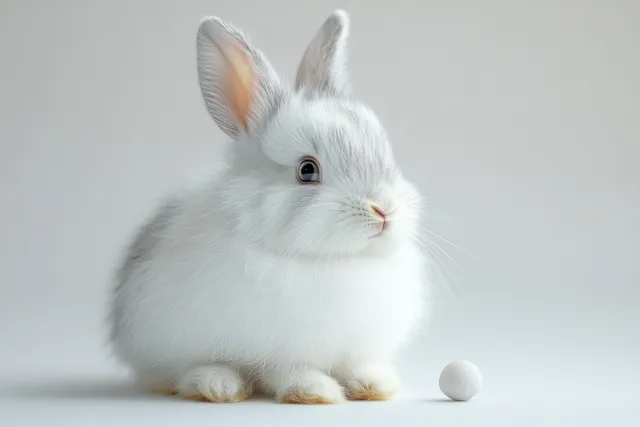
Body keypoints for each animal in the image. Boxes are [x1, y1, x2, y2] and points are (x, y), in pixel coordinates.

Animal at [110, 9, 428, 404]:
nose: (383, 210)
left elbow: (356, 365)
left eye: (385, 156)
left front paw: (374, 385)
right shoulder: (282, 348)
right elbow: (289, 370)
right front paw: (316, 392)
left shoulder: (355, 347)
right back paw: (218, 385)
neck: (336, 260)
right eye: (307, 170)